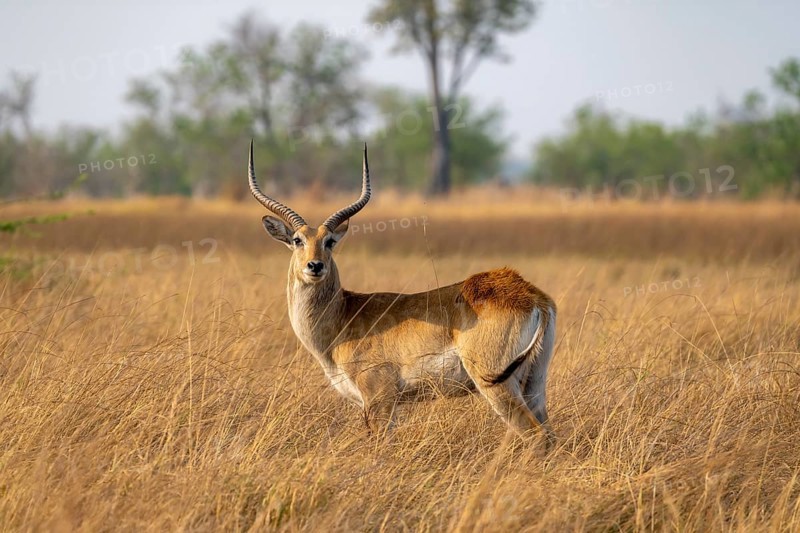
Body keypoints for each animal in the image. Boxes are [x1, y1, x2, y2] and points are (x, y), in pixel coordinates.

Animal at [249, 141, 557, 441]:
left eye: (330, 241)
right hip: (534, 382)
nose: (315, 266)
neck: (343, 318)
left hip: (496, 384)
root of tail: (532, 296)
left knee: (534, 434)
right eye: (297, 240)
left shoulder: (379, 399)